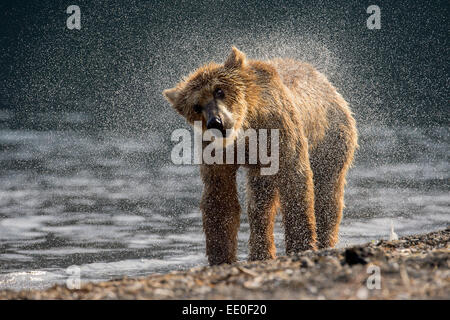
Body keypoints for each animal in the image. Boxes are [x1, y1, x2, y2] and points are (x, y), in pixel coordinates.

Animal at [163, 47, 356, 264]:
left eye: (219, 90)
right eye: (196, 106)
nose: (216, 122)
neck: (246, 128)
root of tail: (325, 81)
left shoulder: (280, 132)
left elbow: (295, 181)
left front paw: (301, 245)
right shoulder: (217, 152)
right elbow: (220, 197)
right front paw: (221, 257)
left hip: (331, 138)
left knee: (327, 194)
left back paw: (323, 241)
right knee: (261, 203)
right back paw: (261, 253)